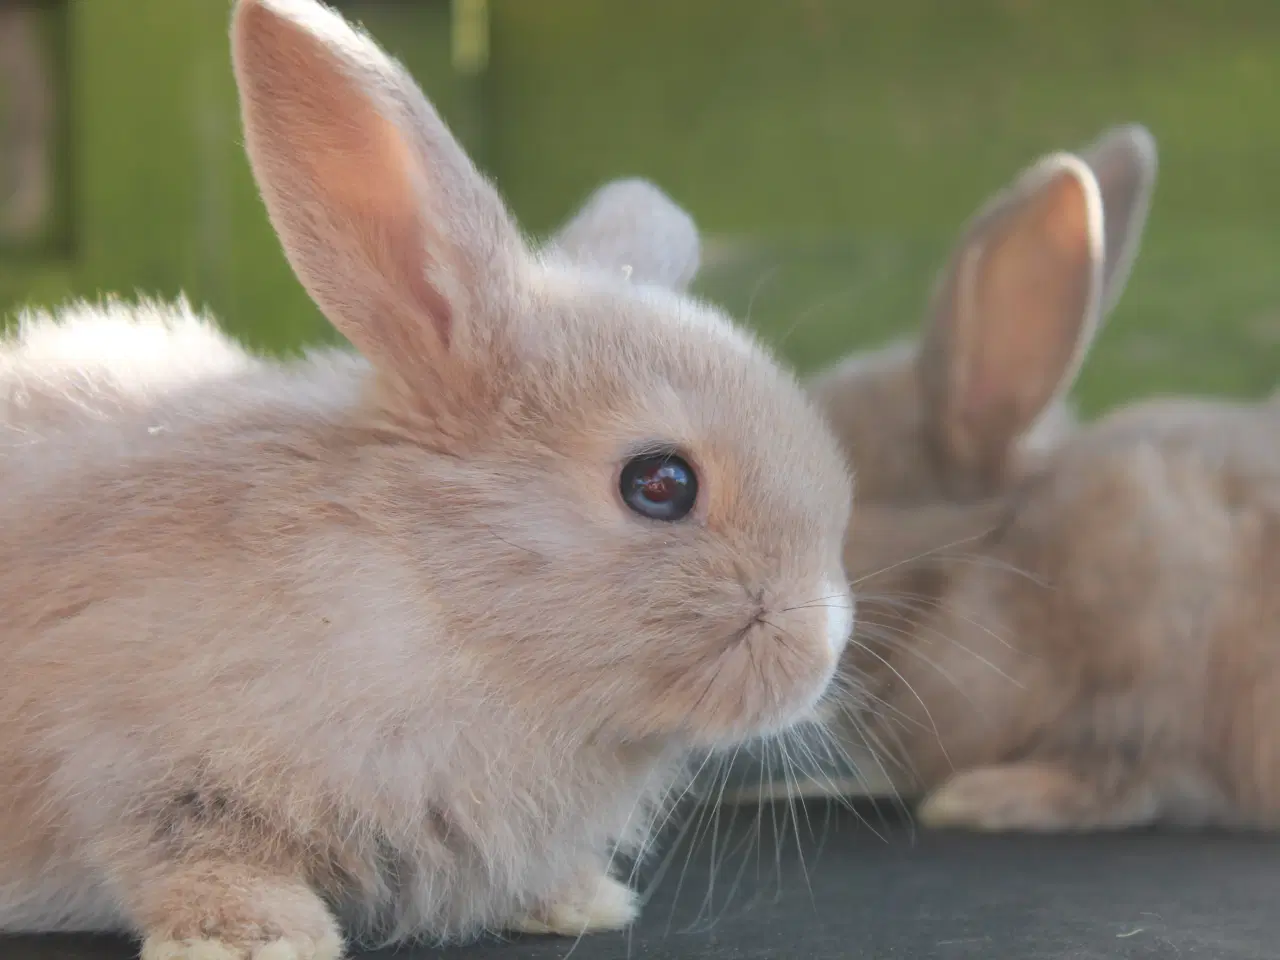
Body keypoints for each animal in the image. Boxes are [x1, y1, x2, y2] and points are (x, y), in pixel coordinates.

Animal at [0, 1, 860, 960]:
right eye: (660, 484)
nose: (819, 655)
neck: (435, 597)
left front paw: (581, 903)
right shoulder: (136, 766)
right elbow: (196, 852)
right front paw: (257, 940)